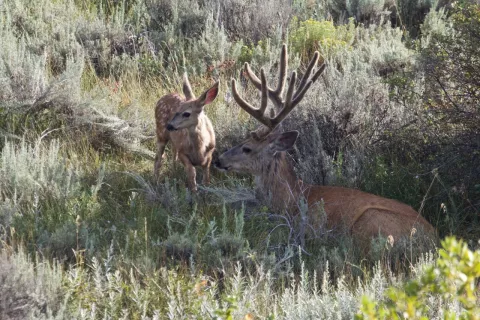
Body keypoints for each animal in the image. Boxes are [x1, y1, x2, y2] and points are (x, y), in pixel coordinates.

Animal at [215, 43, 436, 246]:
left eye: (247, 148)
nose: (218, 160)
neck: (293, 198)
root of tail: (432, 239)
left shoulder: (308, 224)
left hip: (371, 220)